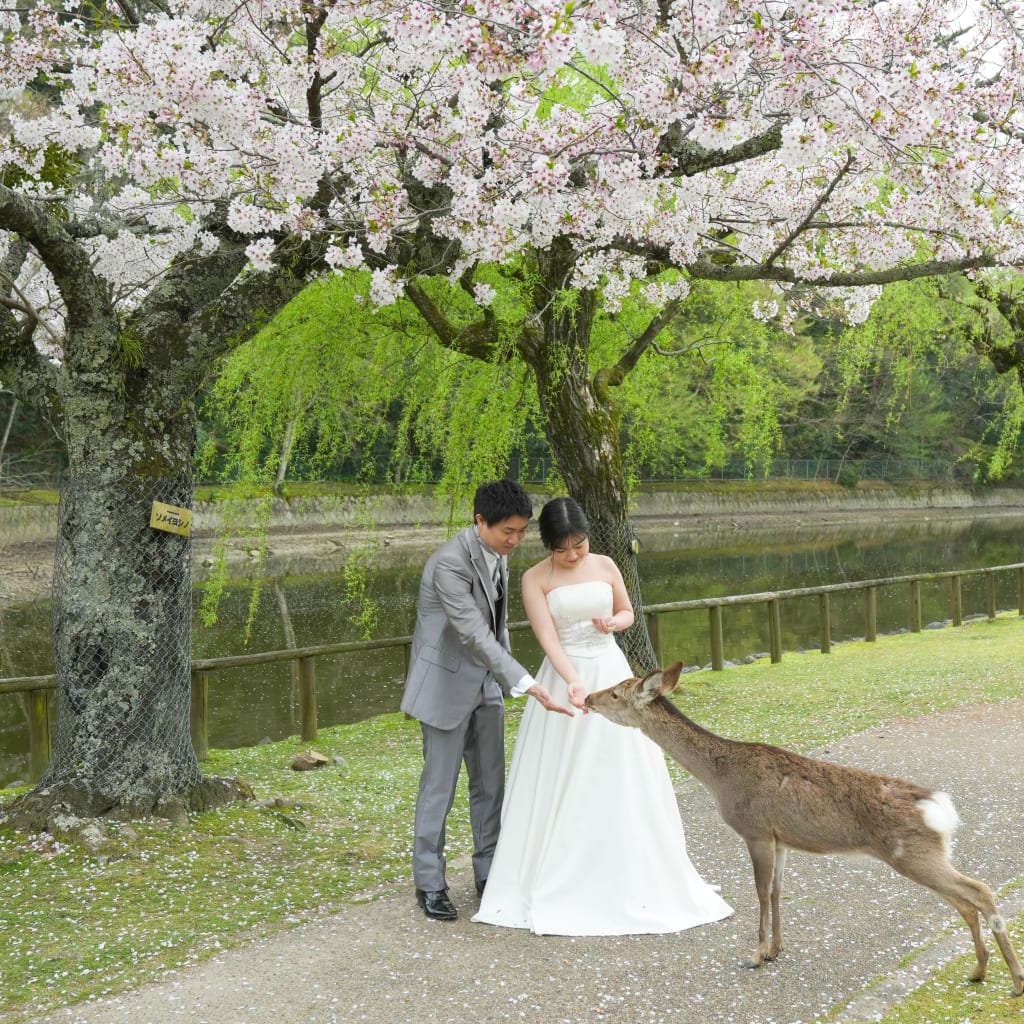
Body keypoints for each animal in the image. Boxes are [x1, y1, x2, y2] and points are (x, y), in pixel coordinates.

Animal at [585, 659, 1024, 995]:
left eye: (616, 694)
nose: (587, 698)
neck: (719, 777)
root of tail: (939, 808)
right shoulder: (780, 838)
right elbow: (777, 891)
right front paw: (776, 949)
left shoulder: (755, 829)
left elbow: (760, 892)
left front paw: (756, 956)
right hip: (926, 854)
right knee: (965, 902)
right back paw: (978, 971)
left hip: (912, 854)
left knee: (980, 891)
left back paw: (1015, 981)